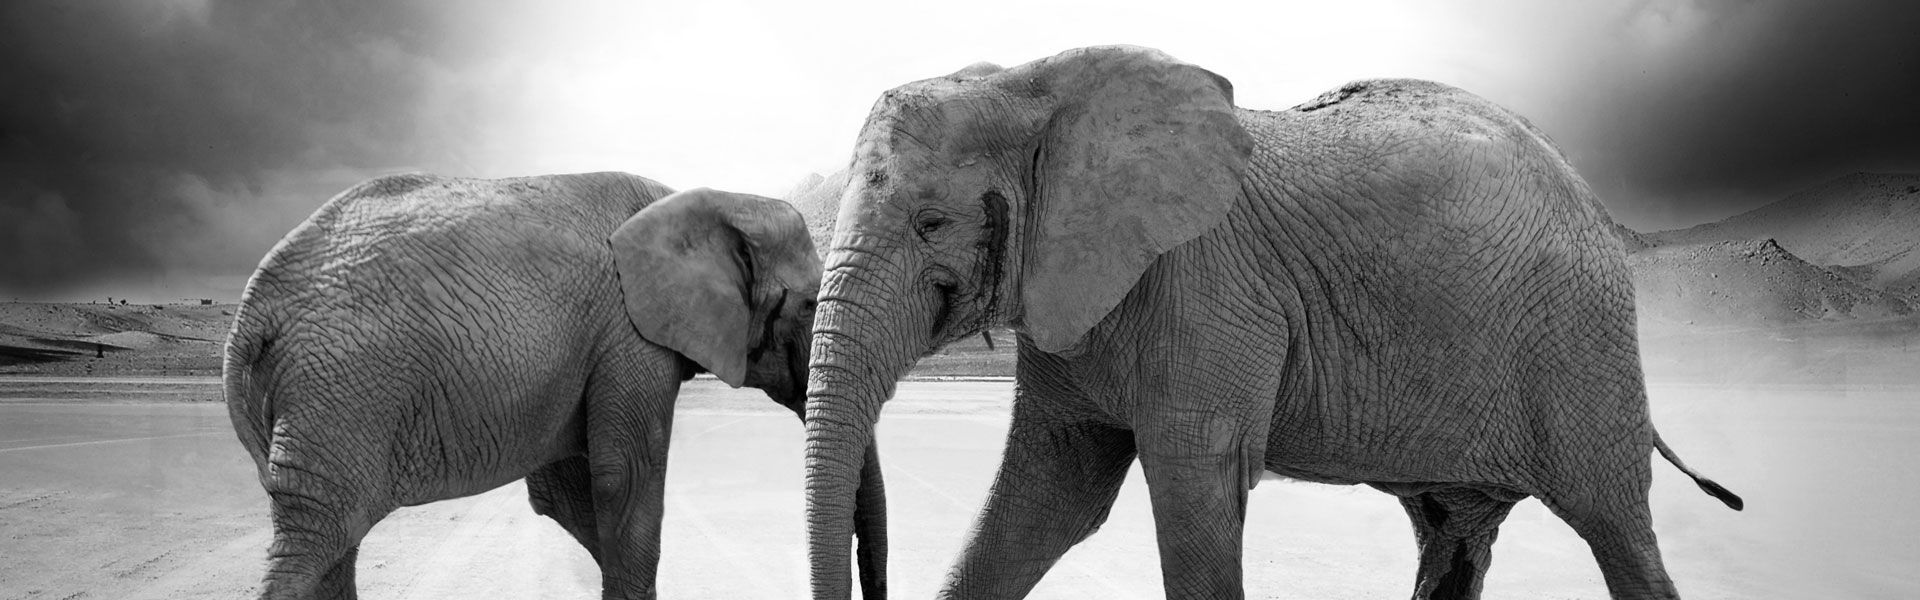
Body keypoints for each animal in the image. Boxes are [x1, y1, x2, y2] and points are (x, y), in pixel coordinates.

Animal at [222, 172, 888, 599]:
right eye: (811, 305)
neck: (704, 198)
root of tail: (251, 310)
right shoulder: (628, 336)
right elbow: (625, 480)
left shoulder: (591, 352)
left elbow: (567, 494)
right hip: (339, 394)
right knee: (319, 537)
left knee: (334, 543)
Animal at [799, 46, 1743, 600]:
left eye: (930, 223)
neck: (1035, 85)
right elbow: (1046, 499)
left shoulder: (1206, 291)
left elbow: (1193, 490)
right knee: (1455, 531)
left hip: (1582, 342)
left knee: (1616, 526)